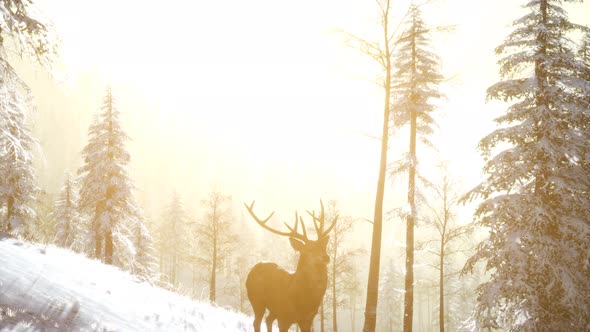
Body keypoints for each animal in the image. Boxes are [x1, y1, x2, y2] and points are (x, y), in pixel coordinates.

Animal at [245, 200, 338, 332]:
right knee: (256, 322)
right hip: (256, 299)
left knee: (268, 319)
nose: (326, 257)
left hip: (273, 308)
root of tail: (253, 269)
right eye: (309, 249)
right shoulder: (284, 316)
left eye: (323, 247)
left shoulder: (308, 319)